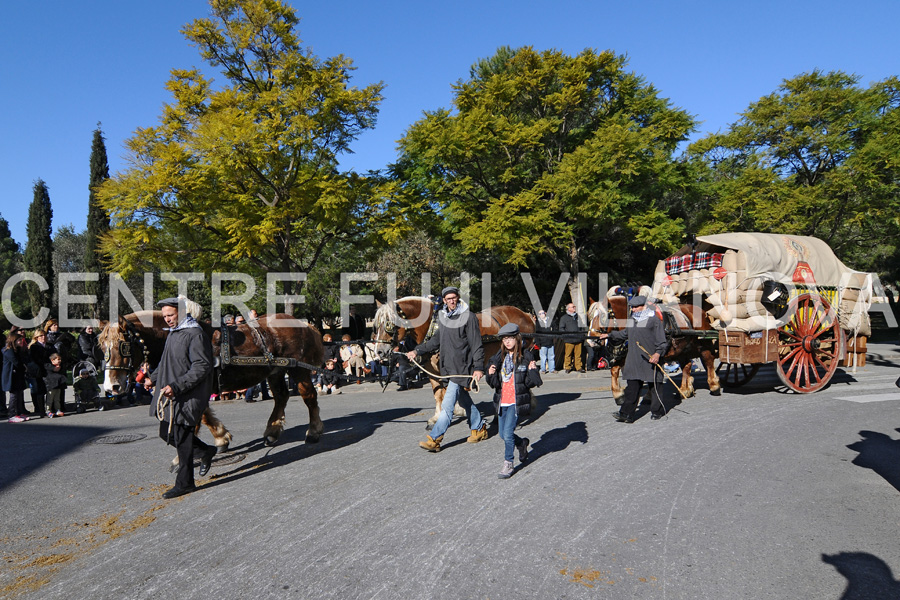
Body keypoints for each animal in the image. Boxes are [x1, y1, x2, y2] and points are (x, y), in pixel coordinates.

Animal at [97, 312, 324, 448]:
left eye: (123, 346)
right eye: (101, 346)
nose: (111, 386)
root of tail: (303, 323)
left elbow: (199, 416)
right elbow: (203, 415)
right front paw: (221, 438)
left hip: (298, 370)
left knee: (309, 397)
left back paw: (313, 432)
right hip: (276, 371)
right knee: (281, 397)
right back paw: (272, 432)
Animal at [372, 296, 536, 428]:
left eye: (388, 324)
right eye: (376, 326)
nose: (378, 351)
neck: (432, 325)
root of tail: (525, 314)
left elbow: (449, 391)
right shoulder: (432, 371)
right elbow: (438, 393)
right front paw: (438, 416)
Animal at [588, 292, 720, 400]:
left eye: (603, 316)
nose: (591, 341)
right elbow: (615, 369)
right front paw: (618, 395)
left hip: (703, 344)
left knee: (708, 361)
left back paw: (714, 386)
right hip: (682, 349)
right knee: (686, 366)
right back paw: (684, 390)